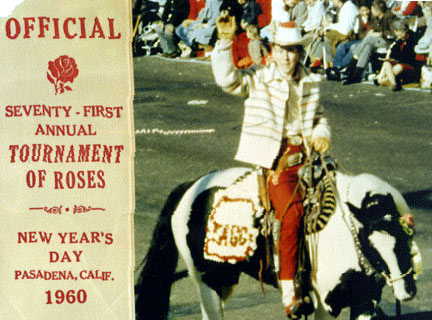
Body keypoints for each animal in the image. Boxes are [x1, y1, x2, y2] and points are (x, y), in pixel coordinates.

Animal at [137, 168, 420, 320]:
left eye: (405, 238)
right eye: (372, 245)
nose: (407, 291)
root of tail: (191, 188)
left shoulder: (364, 301)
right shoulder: (323, 300)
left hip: (225, 280)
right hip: (207, 279)